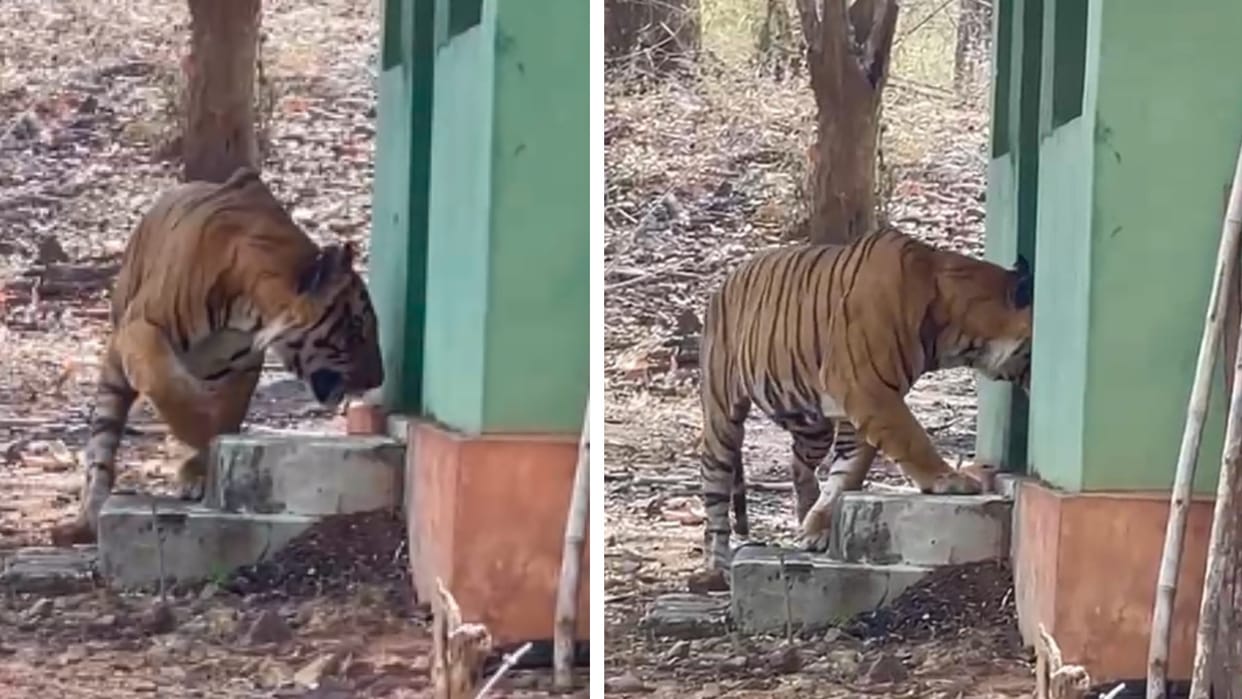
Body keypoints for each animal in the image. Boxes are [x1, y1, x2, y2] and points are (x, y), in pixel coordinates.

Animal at [49, 166, 384, 546]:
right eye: (356, 328)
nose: (380, 378)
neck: (248, 310)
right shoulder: (141, 327)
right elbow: (168, 386)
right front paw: (198, 439)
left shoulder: (241, 367)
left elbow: (225, 415)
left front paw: (202, 463)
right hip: (115, 369)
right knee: (101, 444)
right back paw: (87, 519)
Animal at [694, 228, 1032, 587]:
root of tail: (721, 284)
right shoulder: (867, 389)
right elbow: (913, 439)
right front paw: (949, 480)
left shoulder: (861, 404)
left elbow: (848, 470)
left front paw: (818, 527)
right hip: (722, 421)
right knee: (715, 499)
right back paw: (716, 566)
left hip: (812, 426)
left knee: (799, 464)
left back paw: (804, 510)